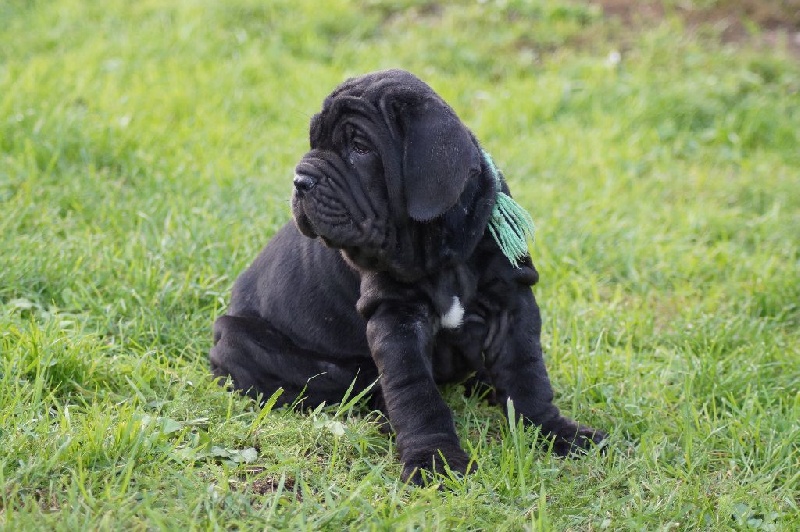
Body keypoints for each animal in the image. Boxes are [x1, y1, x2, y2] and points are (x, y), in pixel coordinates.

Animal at [210, 69, 605, 483]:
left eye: (360, 148)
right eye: (314, 142)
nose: (300, 180)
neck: (440, 249)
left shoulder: (512, 302)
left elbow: (527, 374)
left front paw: (556, 431)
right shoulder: (396, 317)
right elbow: (416, 394)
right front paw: (435, 459)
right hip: (242, 341)